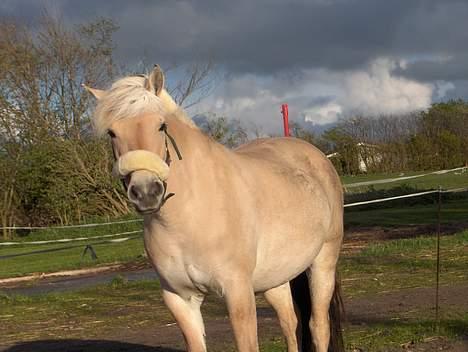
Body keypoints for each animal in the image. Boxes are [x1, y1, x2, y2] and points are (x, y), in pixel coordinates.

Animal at [83, 66, 344, 352]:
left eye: (161, 125)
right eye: (111, 133)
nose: (146, 192)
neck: (190, 215)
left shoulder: (238, 293)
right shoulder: (180, 299)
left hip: (323, 262)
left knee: (317, 326)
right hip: (276, 278)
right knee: (290, 323)